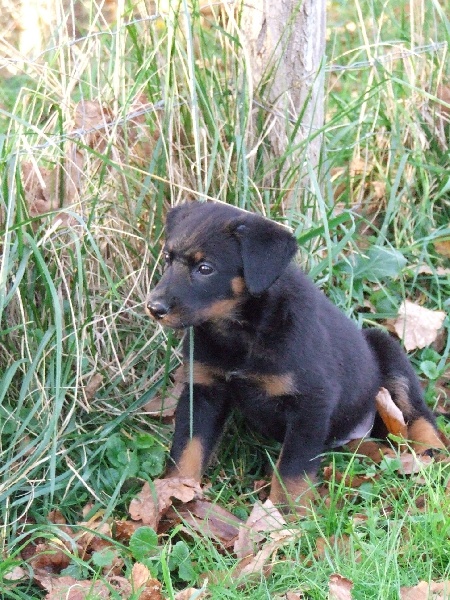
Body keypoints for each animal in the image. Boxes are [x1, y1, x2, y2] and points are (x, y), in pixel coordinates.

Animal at [147, 202, 442, 510]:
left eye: (205, 268)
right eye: (167, 258)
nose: (154, 307)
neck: (242, 331)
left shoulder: (312, 403)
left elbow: (292, 469)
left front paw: (285, 515)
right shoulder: (204, 390)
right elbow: (187, 449)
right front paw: (173, 496)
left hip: (387, 349)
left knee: (419, 413)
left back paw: (430, 454)